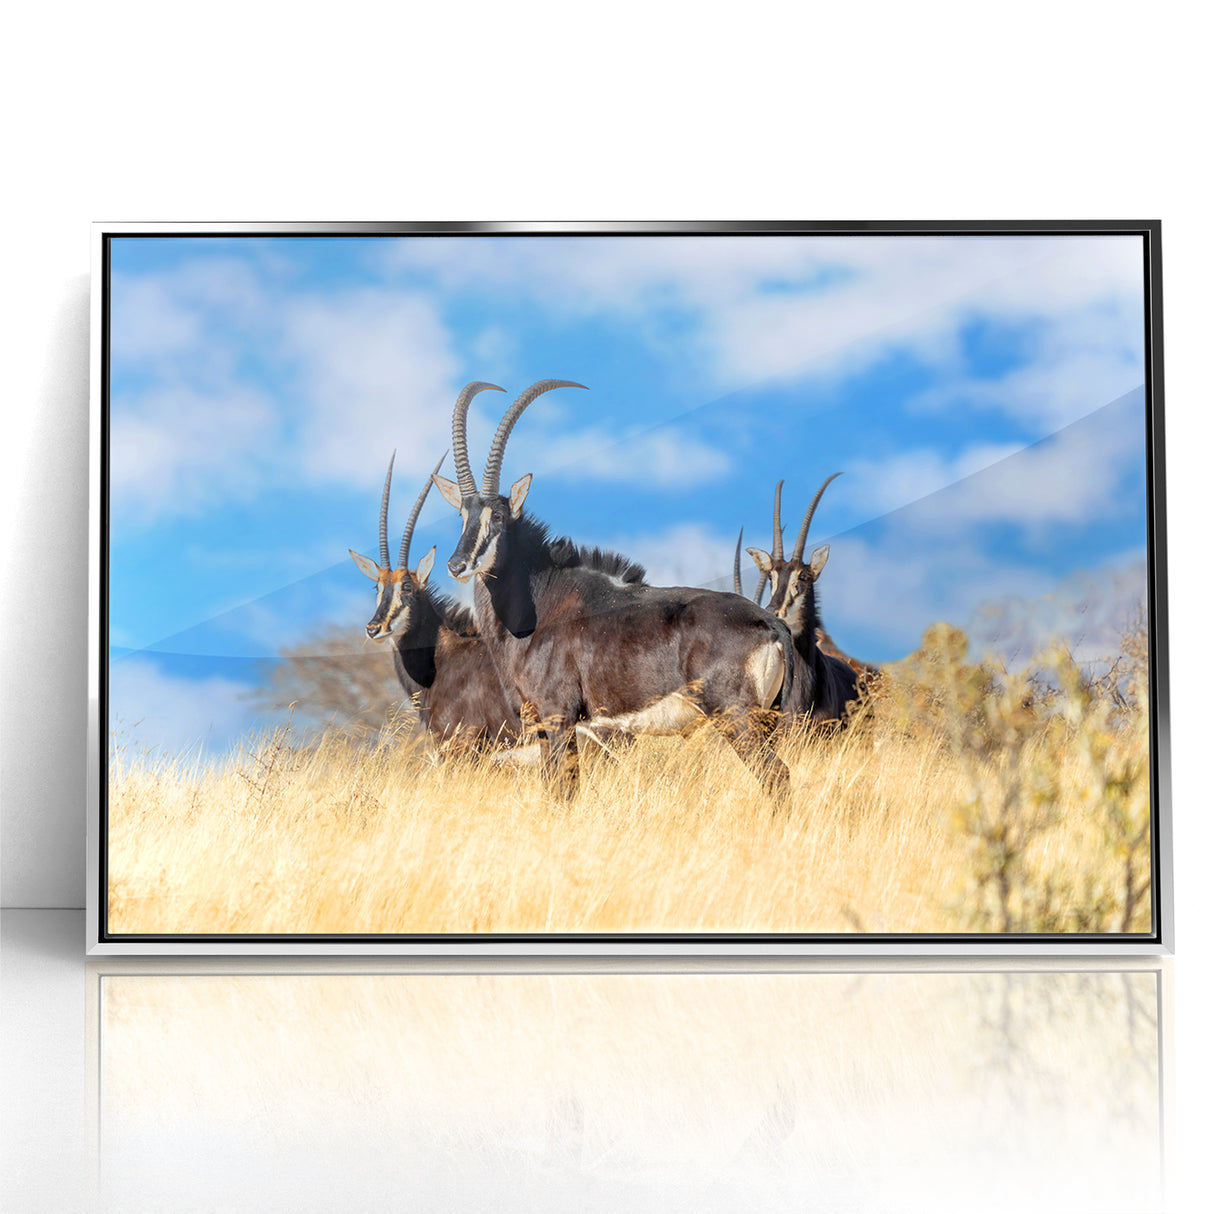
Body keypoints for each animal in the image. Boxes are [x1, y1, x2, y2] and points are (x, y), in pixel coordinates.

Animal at [432, 379, 797, 803]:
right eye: (463, 515)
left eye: (500, 517)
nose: (457, 565)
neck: (539, 603)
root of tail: (769, 622)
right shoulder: (543, 725)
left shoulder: (558, 715)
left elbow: (564, 790)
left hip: (736, 716)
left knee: (776, 776)